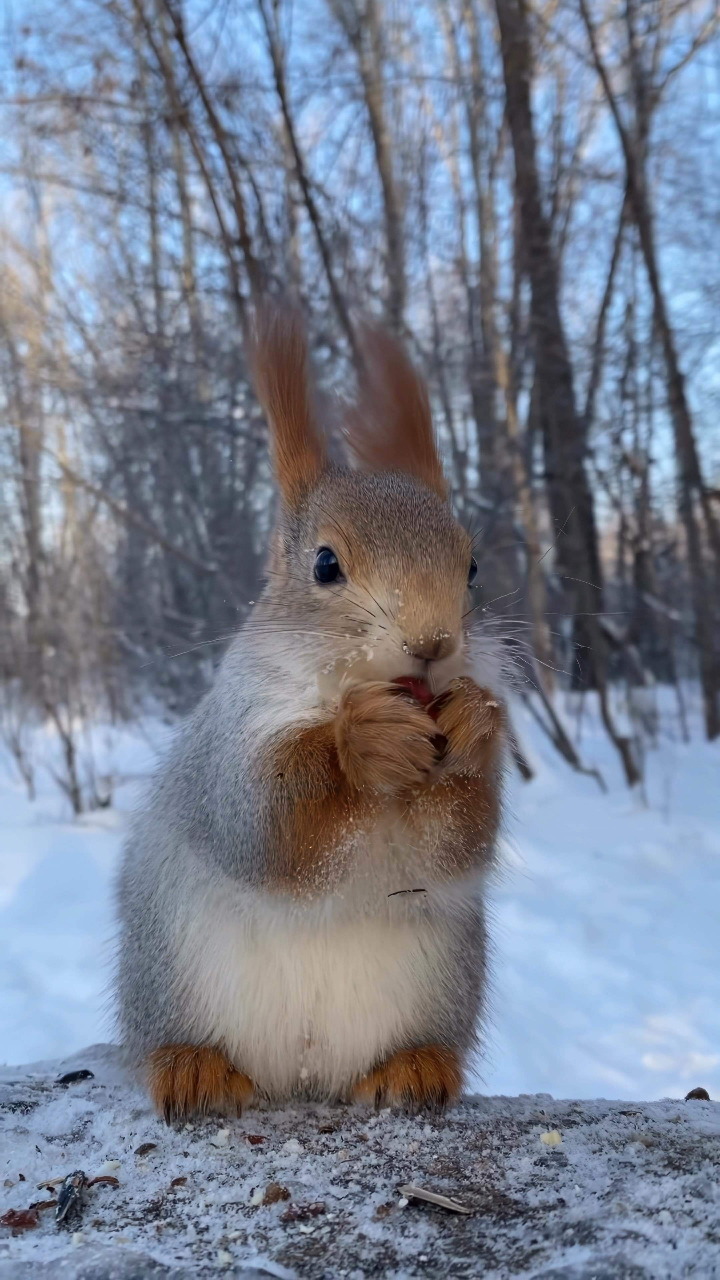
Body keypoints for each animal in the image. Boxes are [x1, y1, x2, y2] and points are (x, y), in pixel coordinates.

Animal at [114, 312, 504, 1121]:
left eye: (473, 567)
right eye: (326, 565)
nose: (433, 645)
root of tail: (300, 1073)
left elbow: (460, 842)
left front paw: (477, 726)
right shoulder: (228, 744)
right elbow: (266, 823)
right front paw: (362, 742)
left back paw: (414, 1065)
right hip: (167, 976)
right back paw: (193, 1066)